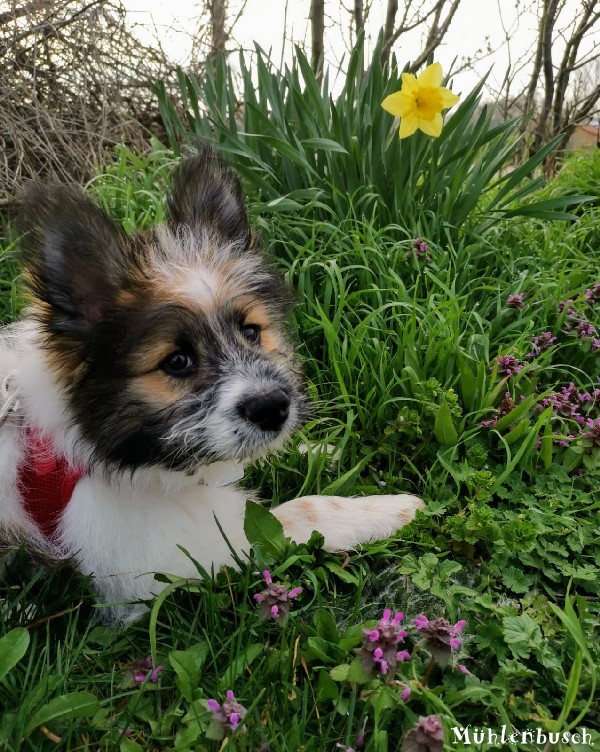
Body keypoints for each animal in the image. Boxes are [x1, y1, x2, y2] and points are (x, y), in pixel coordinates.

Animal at [0, 148, 424, 624]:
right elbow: (297, 512)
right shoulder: (164, 553)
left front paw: (318, 451)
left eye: (252, 332)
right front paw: (386, 508)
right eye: (177, 362)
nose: (274, 409)